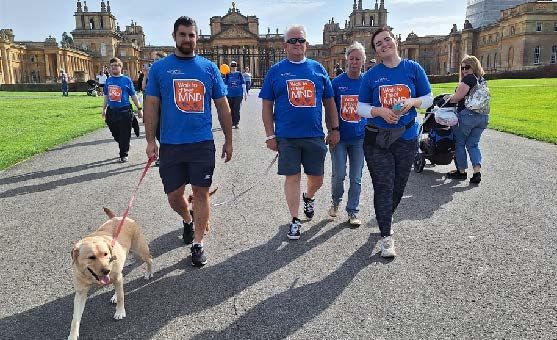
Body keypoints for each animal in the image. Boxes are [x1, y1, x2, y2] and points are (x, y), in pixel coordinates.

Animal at [68, 207, 153, 340]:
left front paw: (120, 312)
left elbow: (121, 296)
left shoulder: (117, 277)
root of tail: (118, 217)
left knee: (150, 259)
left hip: (139, 252)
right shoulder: (81, 293)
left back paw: (149, 273)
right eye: (91, 257)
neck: (92, 277)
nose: (107, 270)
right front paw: (72, 335)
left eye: (105, 254)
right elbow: (75, 318)